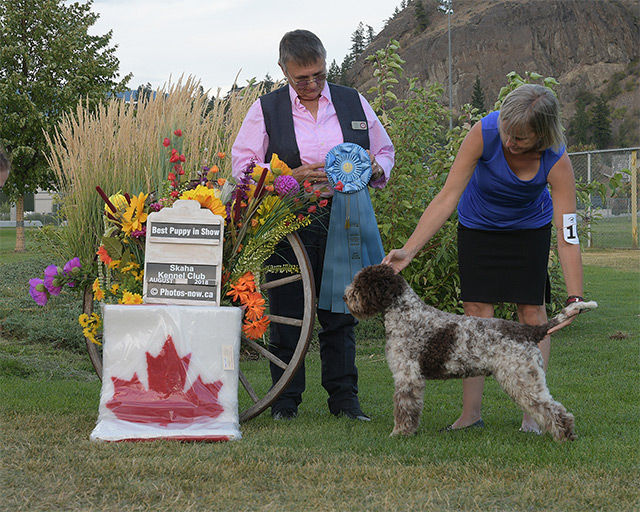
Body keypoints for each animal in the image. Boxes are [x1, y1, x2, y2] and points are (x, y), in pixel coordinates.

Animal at [342, 264, 596, 440]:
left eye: (362, 284)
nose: (345, 296)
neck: (405, 314)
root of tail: (530, 331)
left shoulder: (407, 376)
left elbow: (404, 408)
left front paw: (400, 433)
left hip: (523, 380)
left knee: (554, 410)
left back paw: (564, 436)